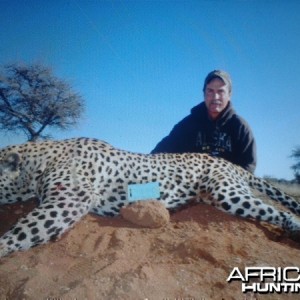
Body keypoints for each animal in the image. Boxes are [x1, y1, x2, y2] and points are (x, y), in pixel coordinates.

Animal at [0, 137, 298, 256]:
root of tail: (230, 163)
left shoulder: (69, 199)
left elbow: (24, 231)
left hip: (225, 192)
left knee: (282, 212)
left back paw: (294, 230)